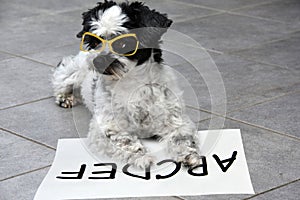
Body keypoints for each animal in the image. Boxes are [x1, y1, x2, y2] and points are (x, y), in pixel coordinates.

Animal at [52, 0, 202, 169]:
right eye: (95, 41)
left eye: (123, 44)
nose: (98, 60)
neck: (132, 84)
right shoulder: (106, 127)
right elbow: (124, 141)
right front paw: (141, 157)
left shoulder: (176, 121)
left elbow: (182, 138)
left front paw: (189, 155)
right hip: (74, 71)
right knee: (61, 78)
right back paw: (65, 97)